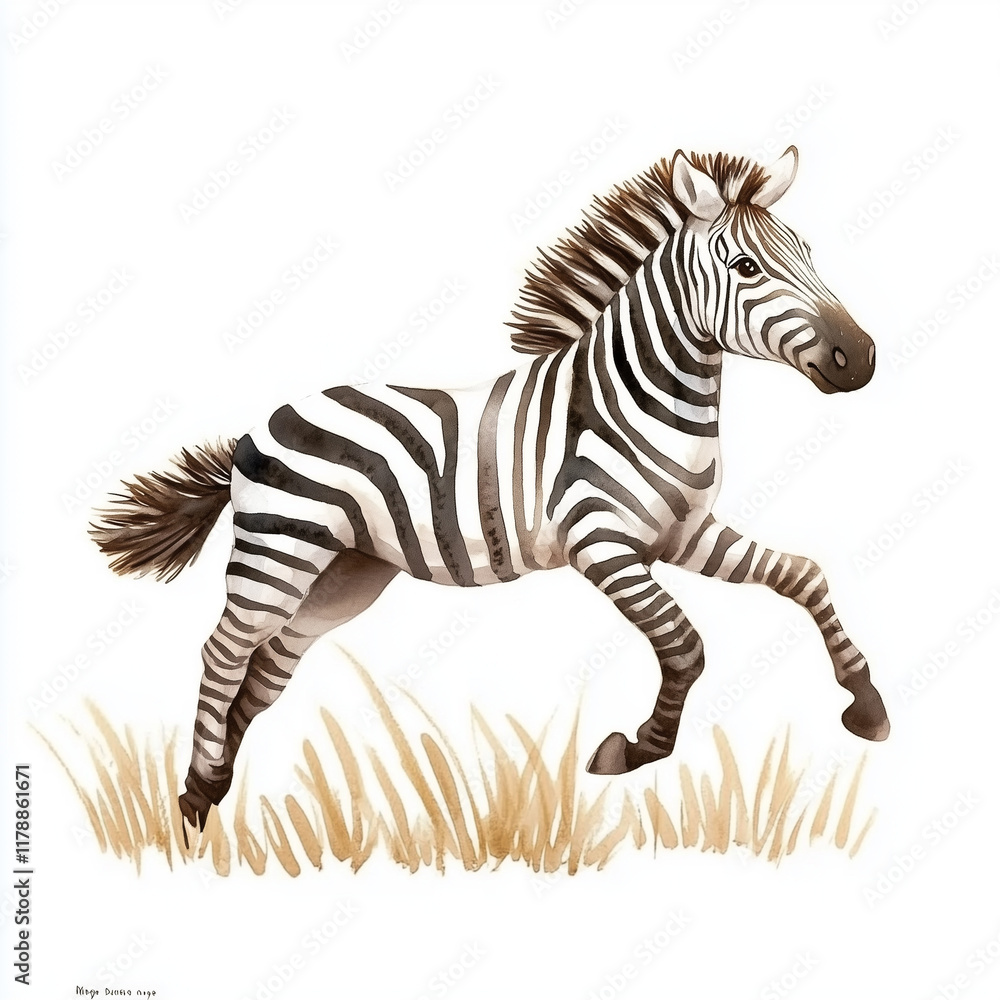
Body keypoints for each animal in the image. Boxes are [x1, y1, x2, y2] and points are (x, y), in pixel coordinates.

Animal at [91, 144, 890, 833]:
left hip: (340, 579)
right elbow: (685, 643)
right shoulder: (603, 544)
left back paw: (220, 786)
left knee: (264, 671)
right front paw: (639, 748)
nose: (861, 359)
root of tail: (258, 424)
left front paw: (867, 703)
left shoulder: (683, 533)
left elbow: (803, 576)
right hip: (276, 556)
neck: (641, 399)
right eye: (747, 266)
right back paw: (196, 794)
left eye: (807, 252)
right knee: (222, 652)